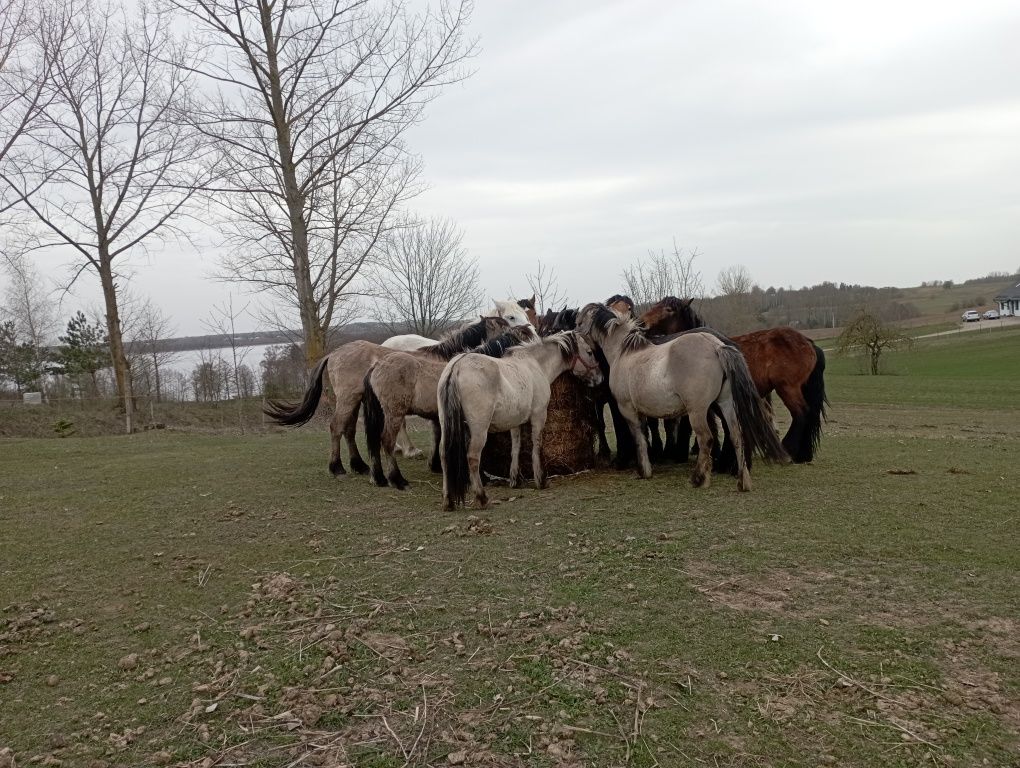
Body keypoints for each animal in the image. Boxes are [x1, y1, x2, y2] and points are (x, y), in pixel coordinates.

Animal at [263, 316, 510, 473]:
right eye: (507, 323)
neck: (445, 358)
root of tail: (334, 353)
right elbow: (437, 435)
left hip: (355, 401)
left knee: (348, 430)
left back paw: (360, 466)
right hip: (348, 399)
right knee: (336, 427)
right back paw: (338, 467)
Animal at [363, 322, 538, 487]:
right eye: (528, 336)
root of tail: (376, 366)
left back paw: (378, 478)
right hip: (394, 413)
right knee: (387, 441)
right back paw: (397, 479)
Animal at [575, 301, 787, 487]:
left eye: (578, 323)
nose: (574, 334)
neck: (624, 352)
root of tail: (717, 346)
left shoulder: (627, 409)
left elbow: (638, 438)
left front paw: (644, 471)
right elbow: (645, 435)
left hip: (698, 411)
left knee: (706, 439)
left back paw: (699, 479)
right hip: (725, 404)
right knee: (736, 436)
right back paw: (743, 481)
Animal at [636, 295, 828, 461]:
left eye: (668, 309)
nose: (640, 322)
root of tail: (808, 342)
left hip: (788, 388)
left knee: (801, 413)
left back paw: (788, 449)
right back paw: (803, 454)